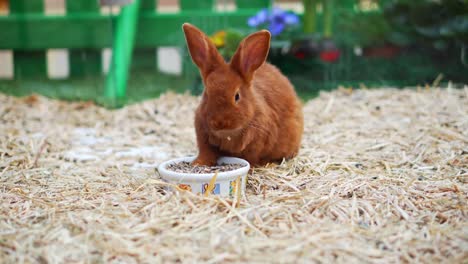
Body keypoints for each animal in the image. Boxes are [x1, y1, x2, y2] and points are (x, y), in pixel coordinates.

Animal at [181, 23, 306, 167]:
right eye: (207, 94)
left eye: (237, 96)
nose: (220, 123)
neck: (228, 134)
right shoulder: (203, 137)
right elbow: (206, 152)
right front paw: (198, 163)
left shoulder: (256, 144)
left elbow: (249, 158)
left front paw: (251, 167)